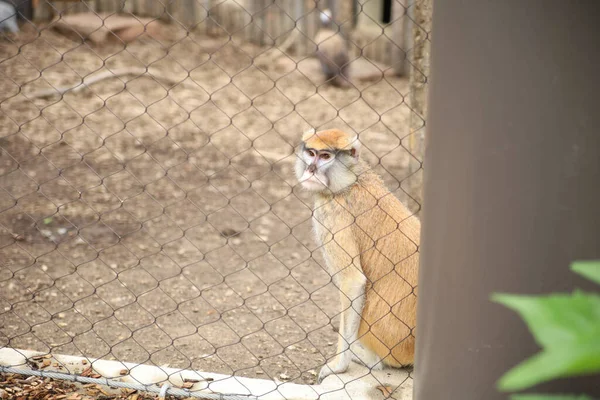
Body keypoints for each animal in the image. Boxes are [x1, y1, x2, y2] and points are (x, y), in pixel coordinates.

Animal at [294, 127, 418, 382]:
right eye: (311, 153)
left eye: (325, 157)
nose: (311, 170)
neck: (352, 180)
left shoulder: (332, 214)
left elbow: (353, 281)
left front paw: (338, 365)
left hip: (389, 340)